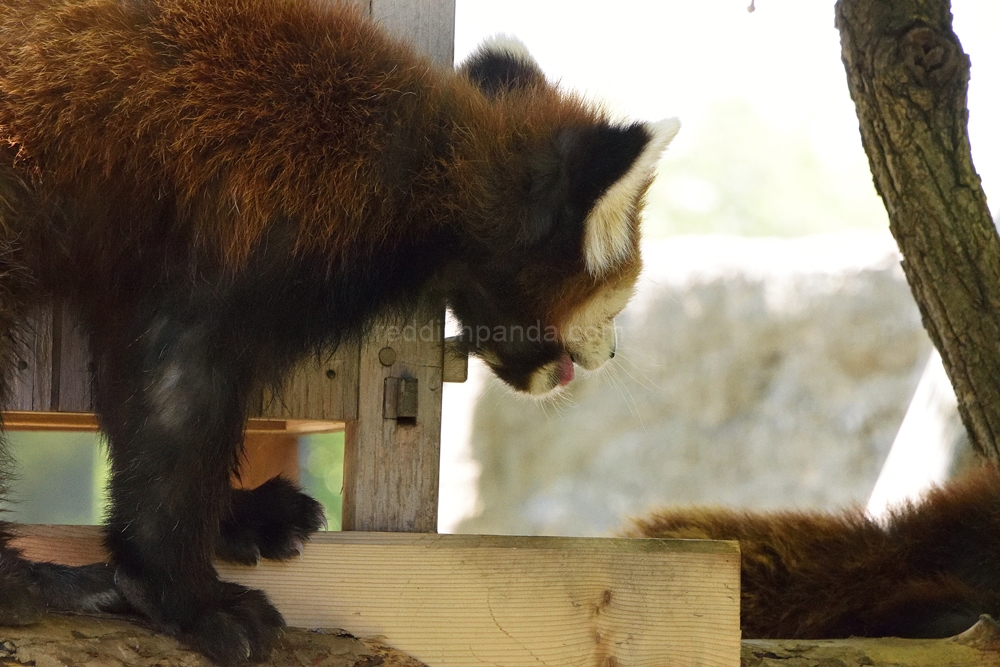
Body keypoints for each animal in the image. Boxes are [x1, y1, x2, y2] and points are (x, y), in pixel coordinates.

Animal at [0, 0, 680, 664]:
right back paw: (34, 585)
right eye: (616, 306)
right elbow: (180, 396)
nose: (611, 351)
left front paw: (238, 516)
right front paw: (185, 596)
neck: (434, 163)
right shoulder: (256, 221)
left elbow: (134, 387)